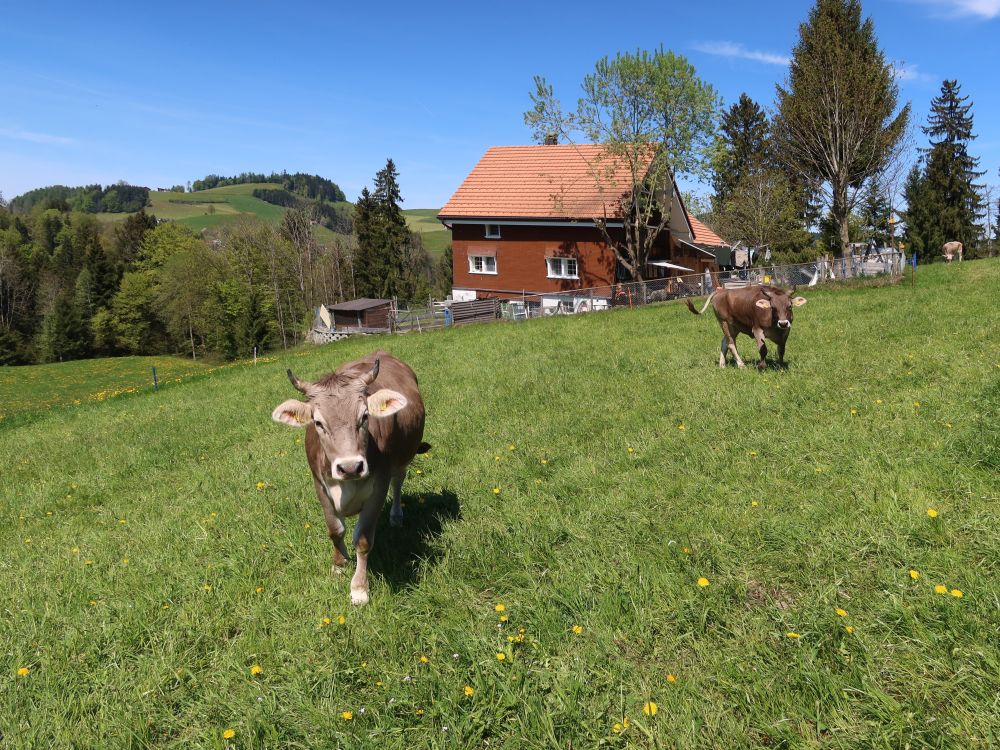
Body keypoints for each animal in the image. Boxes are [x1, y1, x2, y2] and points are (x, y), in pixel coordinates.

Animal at [271, 351, 429, 605]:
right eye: (318, 422)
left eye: (364, 416)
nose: (350, 467)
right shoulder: (320, 486)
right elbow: (335, 530)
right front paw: (339, 565)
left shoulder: (378, 488)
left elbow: (363, 541)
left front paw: (359, 588)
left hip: (403, 459)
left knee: (398, 481)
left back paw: (396, 517)